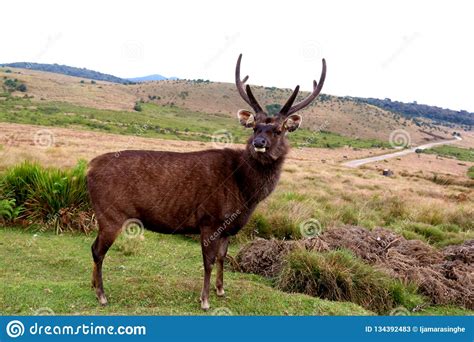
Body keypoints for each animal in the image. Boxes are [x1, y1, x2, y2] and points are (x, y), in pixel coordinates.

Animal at [88, 54, 326, 310]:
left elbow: (223, 256)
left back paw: (93, 285)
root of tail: (89, 168)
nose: (259, 142)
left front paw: (220, 290)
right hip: (111, 213)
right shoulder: (209, 220)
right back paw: (102, 294)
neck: (245, 192)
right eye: (255, 127)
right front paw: (204, 300)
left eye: (279, 130)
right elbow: (208, 261)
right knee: (97, 250)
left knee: (94, 246)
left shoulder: (227, 227)